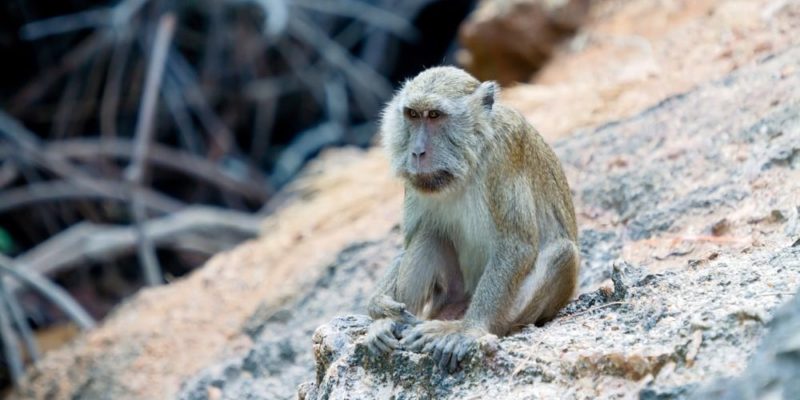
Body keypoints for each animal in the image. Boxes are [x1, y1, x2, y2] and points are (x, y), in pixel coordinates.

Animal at [364, 65, 580, 372]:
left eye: (434, 115)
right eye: (413, 115)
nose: (416, 152)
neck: (469, 155)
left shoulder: (504, 153)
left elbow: (516, 245)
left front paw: (468, 332)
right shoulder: (416, 182)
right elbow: (410, 241)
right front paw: (378, 307)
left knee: (563, 252)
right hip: (450, 297)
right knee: (430, 234)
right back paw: (391, 325)